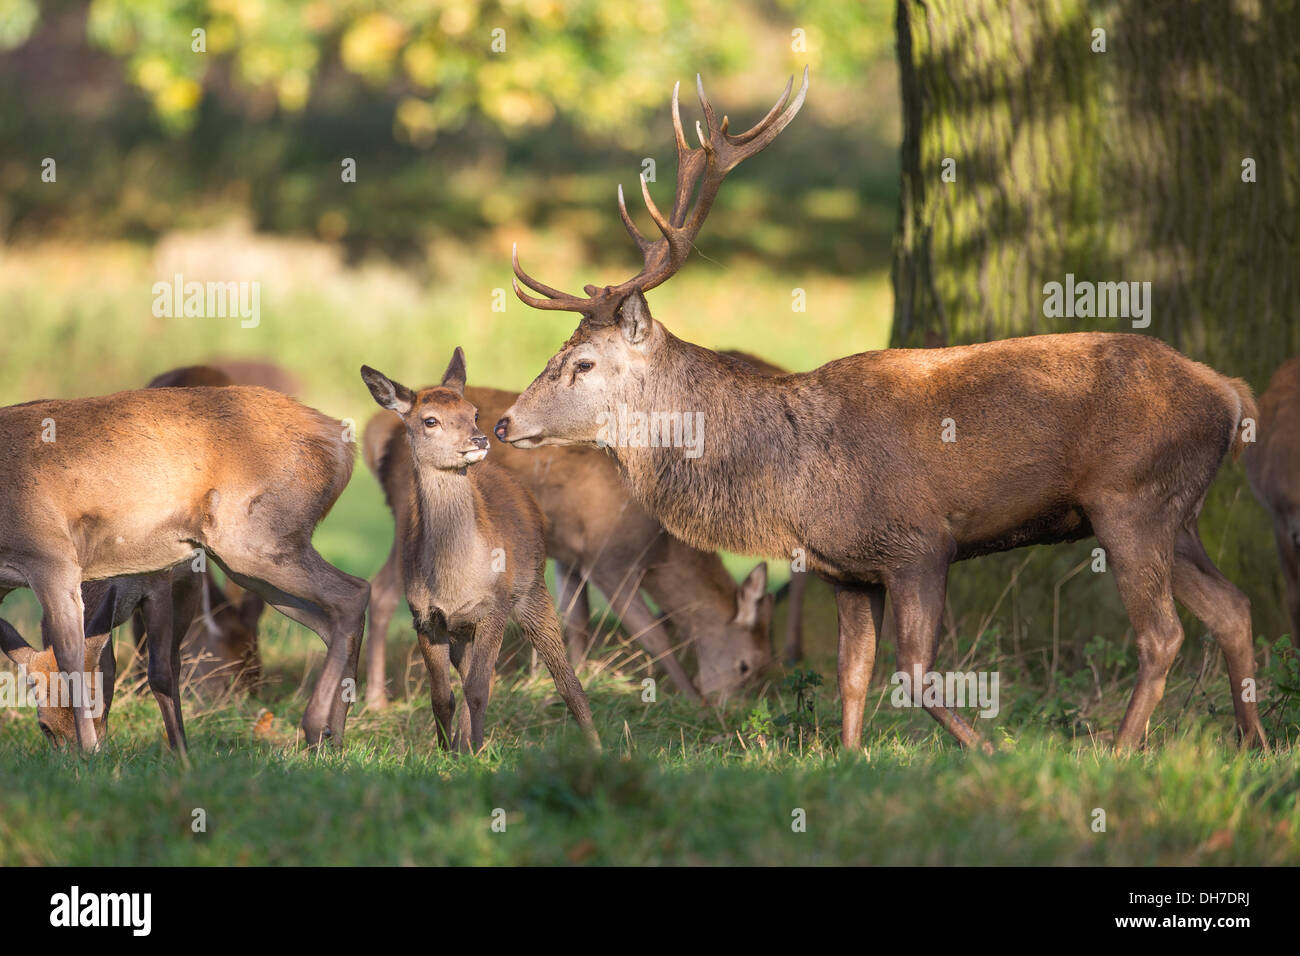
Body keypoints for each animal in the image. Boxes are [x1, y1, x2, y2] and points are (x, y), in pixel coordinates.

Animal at [0, 383, 369, 754]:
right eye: (45, 728)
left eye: (96, 703)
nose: (79, 751)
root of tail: (342, 445)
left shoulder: (56, 558)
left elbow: (83, 655)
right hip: (249, 560)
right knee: (329, 618)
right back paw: (331, 733)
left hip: (255, 538)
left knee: (353, 592)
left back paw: (317, 728)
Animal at [360, 349, 599, 752]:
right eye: (430, 420)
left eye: (472, 411)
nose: (479, 440)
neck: (454, 581)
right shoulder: (425, 618)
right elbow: (442, 695)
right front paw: (447, 752)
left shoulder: (494, 606)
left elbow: (477, 689)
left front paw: (475, 752)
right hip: (463, 630)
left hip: (533, 590)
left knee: (564, 676)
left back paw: (595, 744)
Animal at [362, 384, 773, 708]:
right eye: (746, 666)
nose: (730, 707)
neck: (658, 545)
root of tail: (381, 439)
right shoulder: (608, 558)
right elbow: (650, 632)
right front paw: (691, 699)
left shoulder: (572, 556)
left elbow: (576, 620)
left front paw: (581, 676)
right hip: (407, 523)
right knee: (382, 592)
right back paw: (376, 700)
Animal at [493, 67, 1268, 754]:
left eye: (583, 363)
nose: (504, 424)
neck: (789, 483)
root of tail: (1230, 392)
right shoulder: (847, 570)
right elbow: (853, 675)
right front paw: (850, 758)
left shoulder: (920, 542)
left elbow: (916, 673)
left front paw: (991, 752)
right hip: (1176, 510)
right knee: (1232, 607)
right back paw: (1252, 743)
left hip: (1132, 498)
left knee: (1163, 633)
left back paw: (1121, 750)